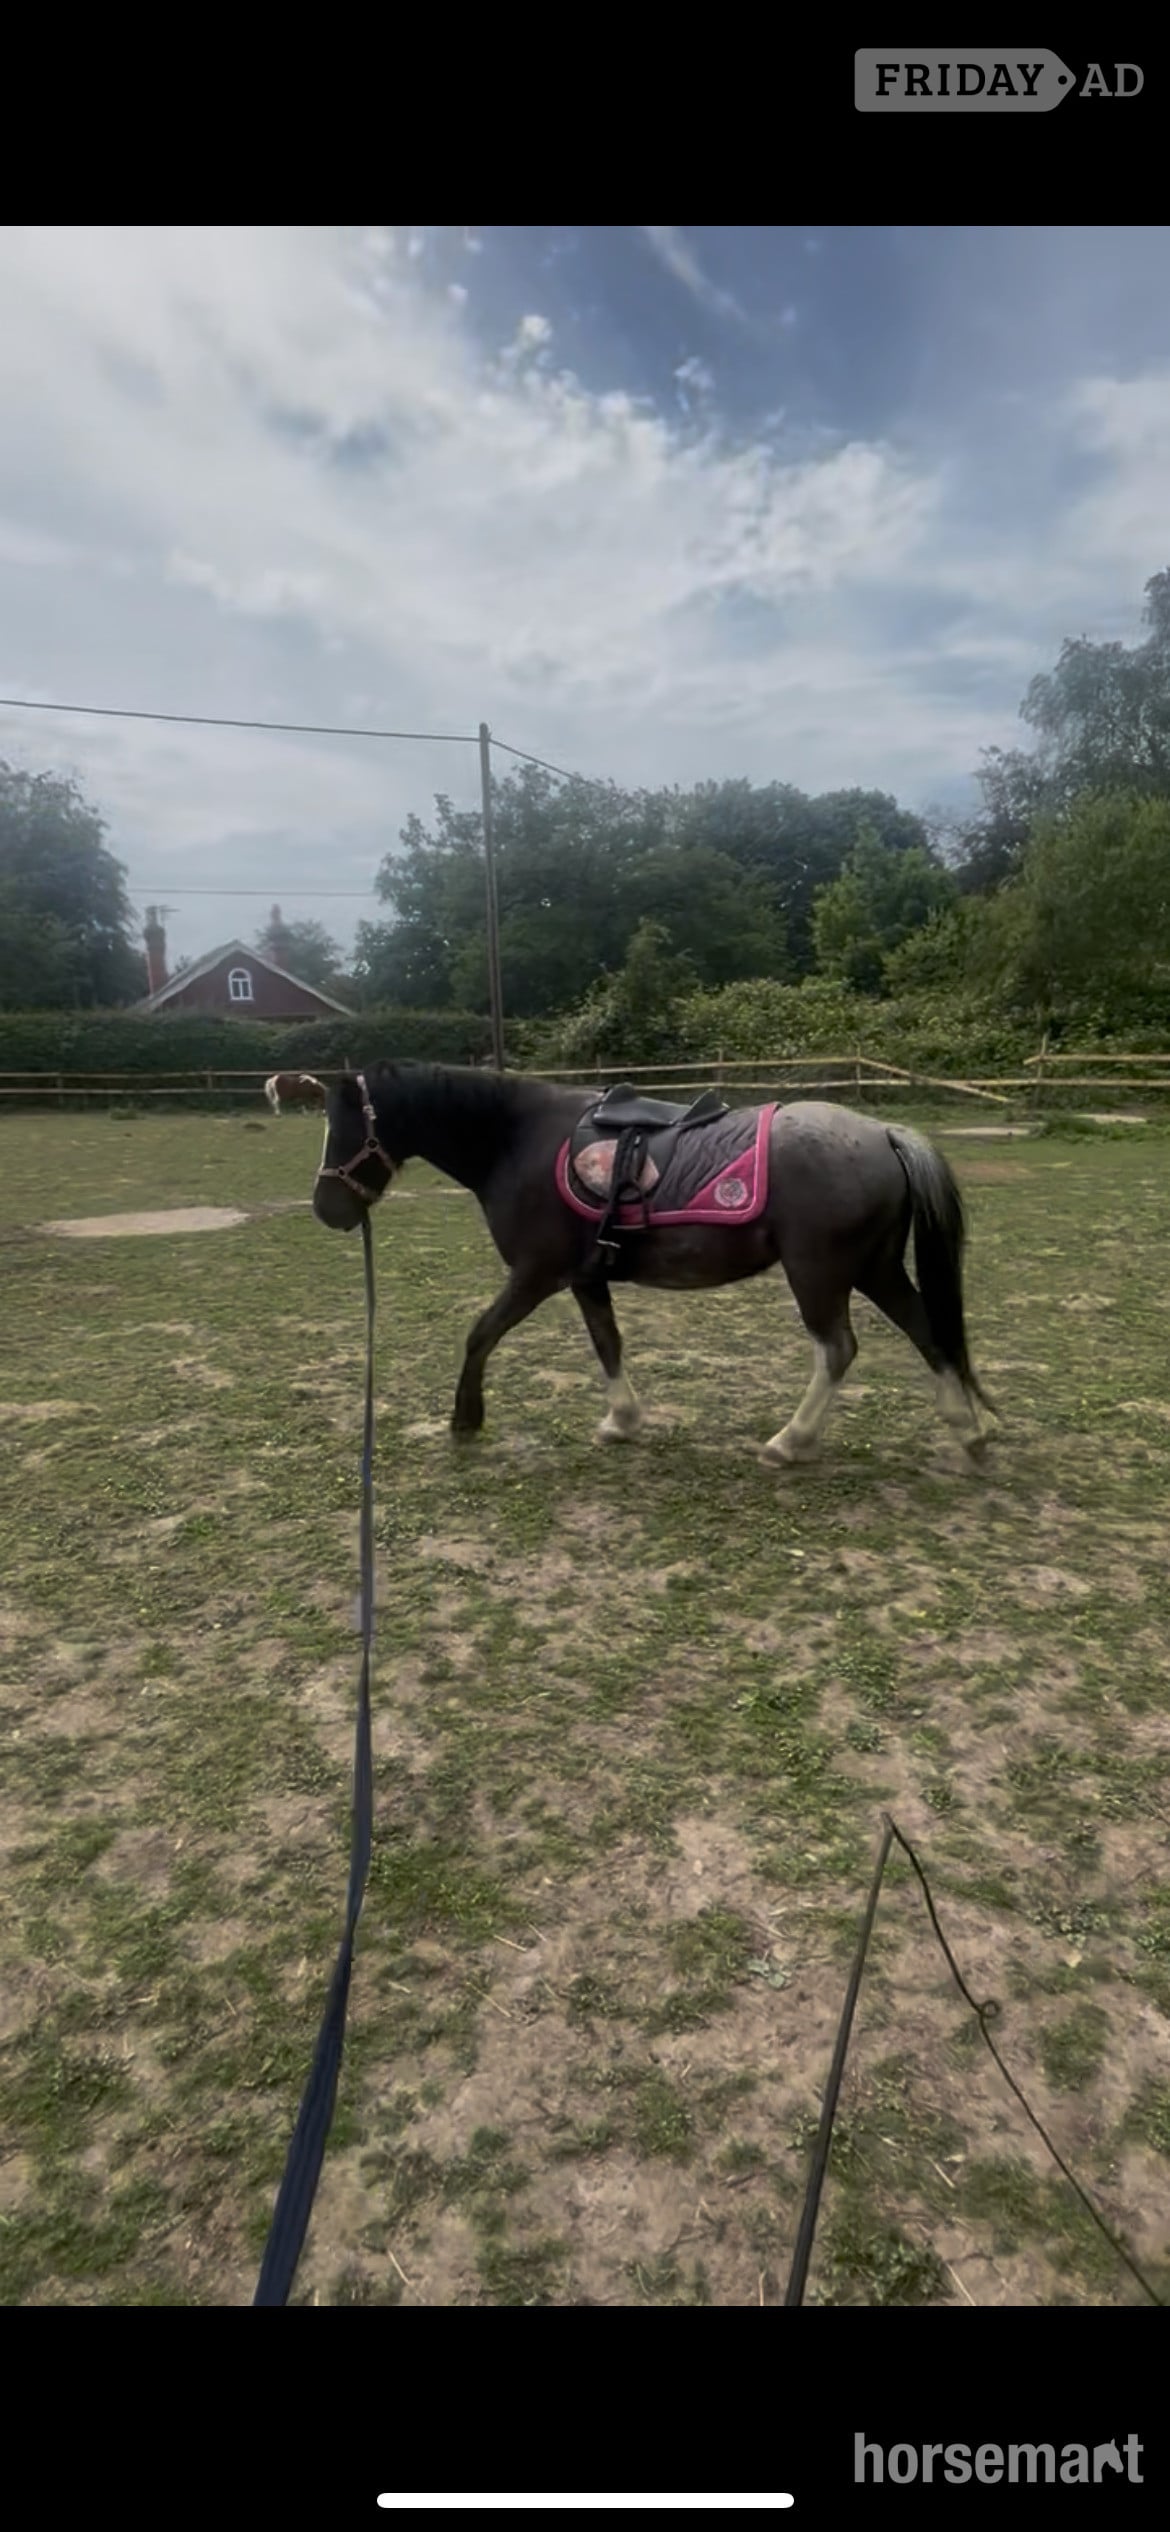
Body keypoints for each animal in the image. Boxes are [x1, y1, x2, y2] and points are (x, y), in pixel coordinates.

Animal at [311, 1061, 993, 1466]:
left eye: (344, 1132)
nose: (325, 1209)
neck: (515, 1140)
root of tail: (883, 1133)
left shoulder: (535, 1275)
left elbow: (480, 1334)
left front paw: (465, 1419)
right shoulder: (586, 1278)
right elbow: (607, 1344)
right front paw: (622, 1421)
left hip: (820, 1272)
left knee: (837, 1349)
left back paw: (790, 1441)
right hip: (875, 1267)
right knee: (927, 1330)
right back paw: (968, 1431)